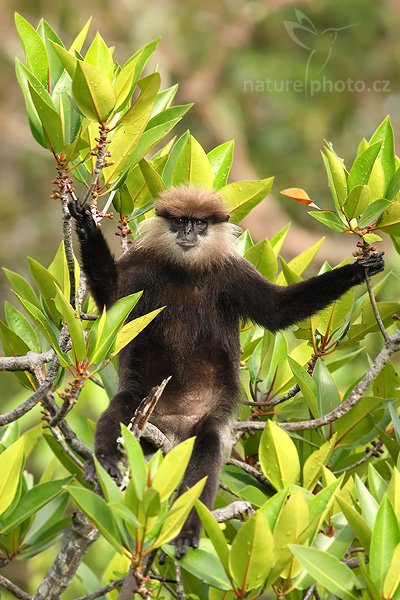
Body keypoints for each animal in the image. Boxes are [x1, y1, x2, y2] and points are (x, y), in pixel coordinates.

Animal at [69, 186, 384, 556]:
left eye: (199, 223)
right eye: (180, 220)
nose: (187, 233)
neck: (187, 271)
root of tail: (172, 431)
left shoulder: (233, 274)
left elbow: (277, 310)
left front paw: (358, 270)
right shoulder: (144, 265)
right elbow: (113, 297)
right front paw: (85, 225)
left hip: (204, 421)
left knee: (208, 448)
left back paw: (188, 530)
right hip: (145, 408)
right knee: (122, 408)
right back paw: (103, 461)